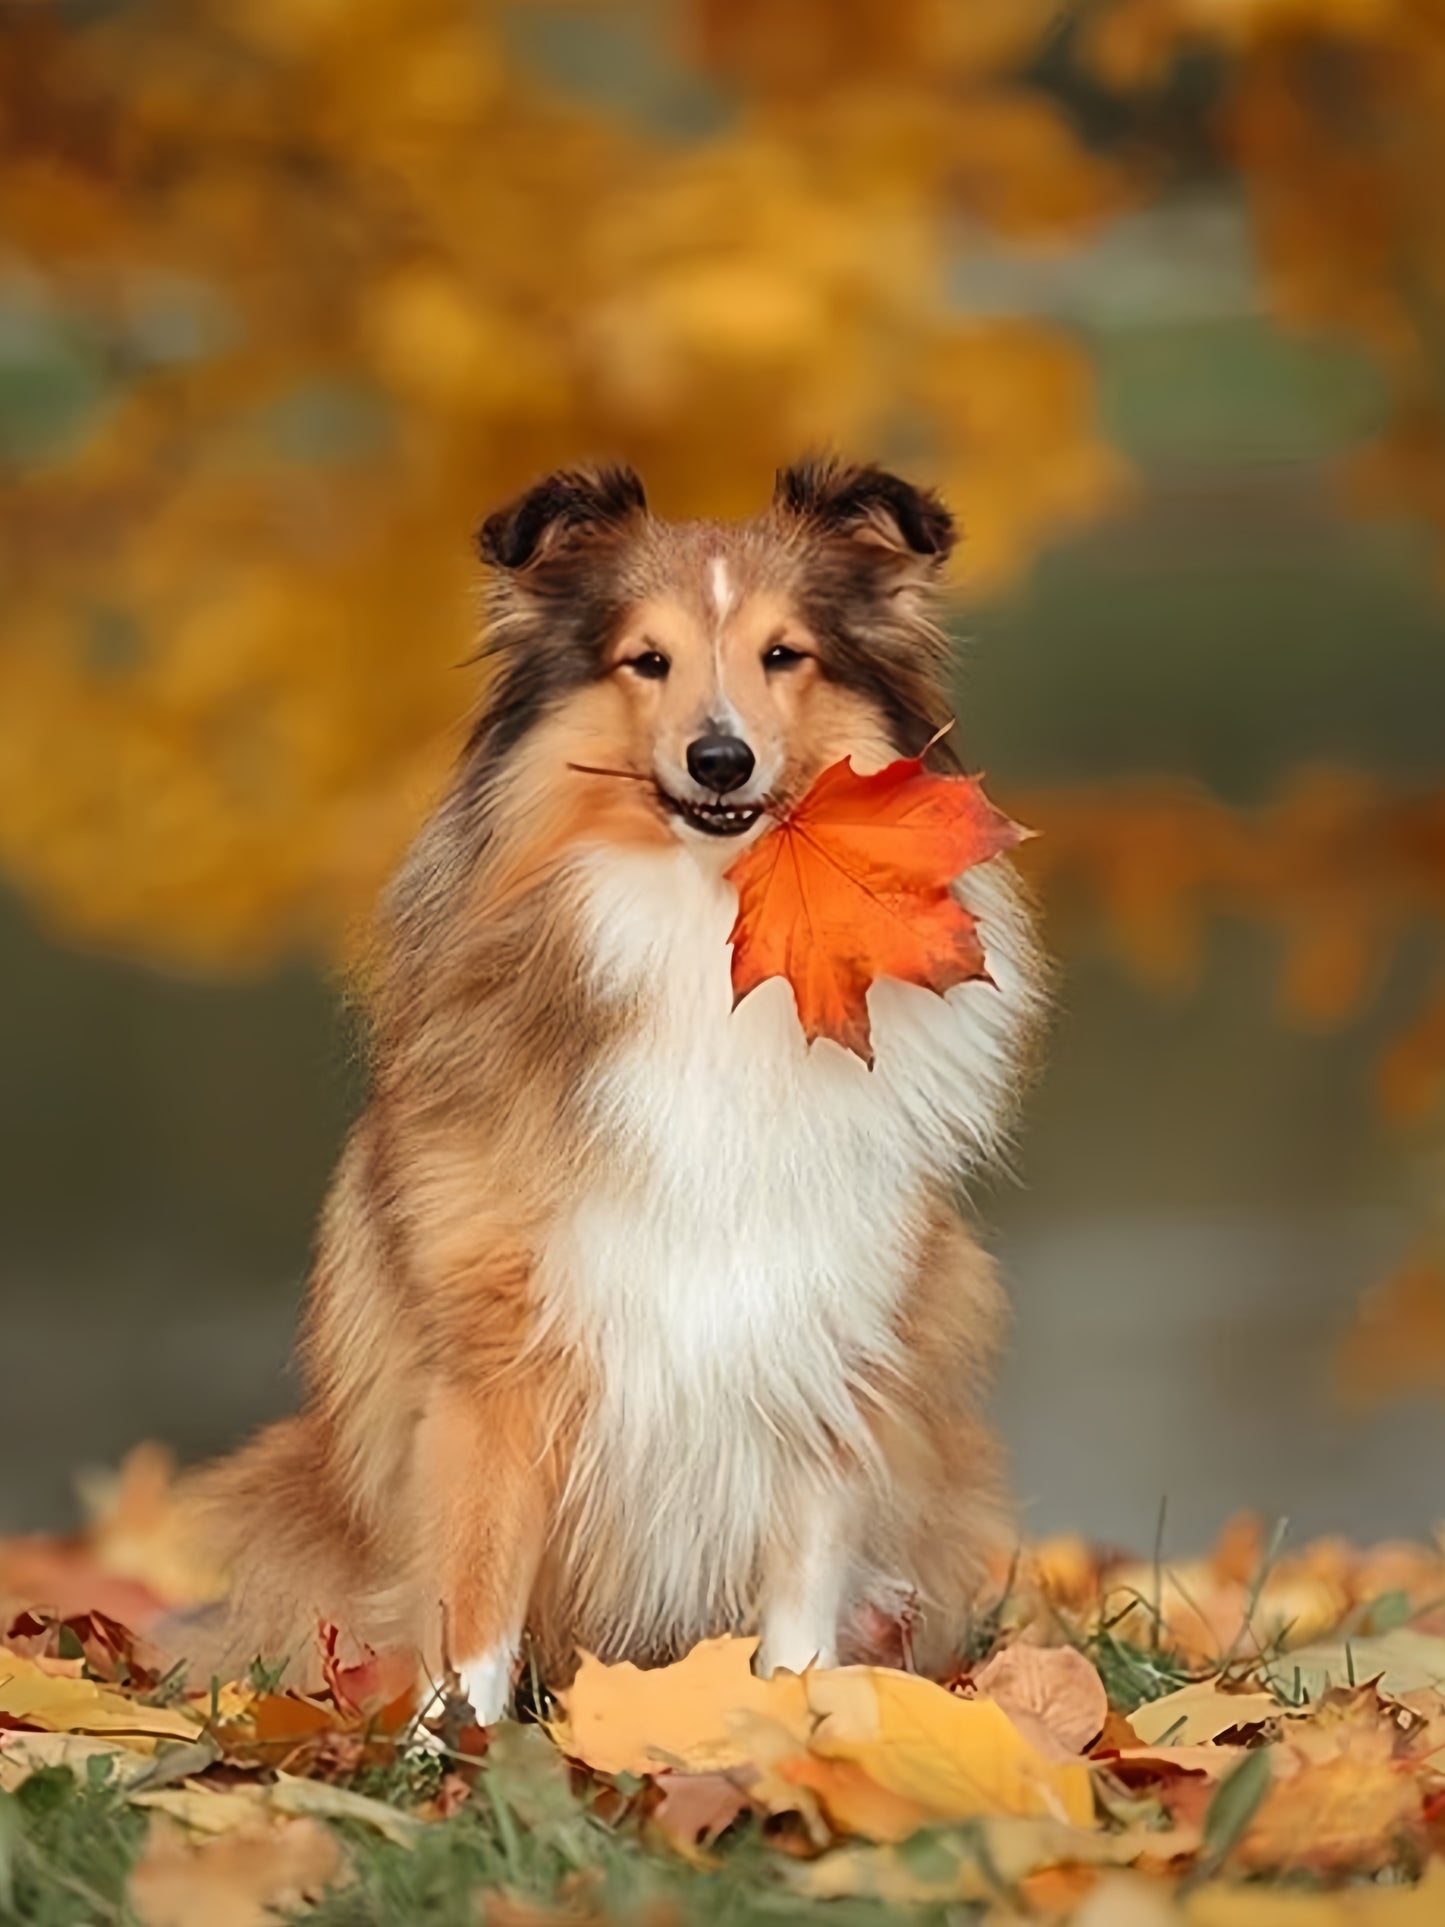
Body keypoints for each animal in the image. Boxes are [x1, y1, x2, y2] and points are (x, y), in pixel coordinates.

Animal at [195, 462, 1055, 1718]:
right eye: (643, 660)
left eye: (784, 654)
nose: (719, 760)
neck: (709, 927)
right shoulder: (492, 1358)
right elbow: (476, 1591)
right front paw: (450, 1752)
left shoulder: (825, 1318)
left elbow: (801, 1578)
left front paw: (794, 1728)